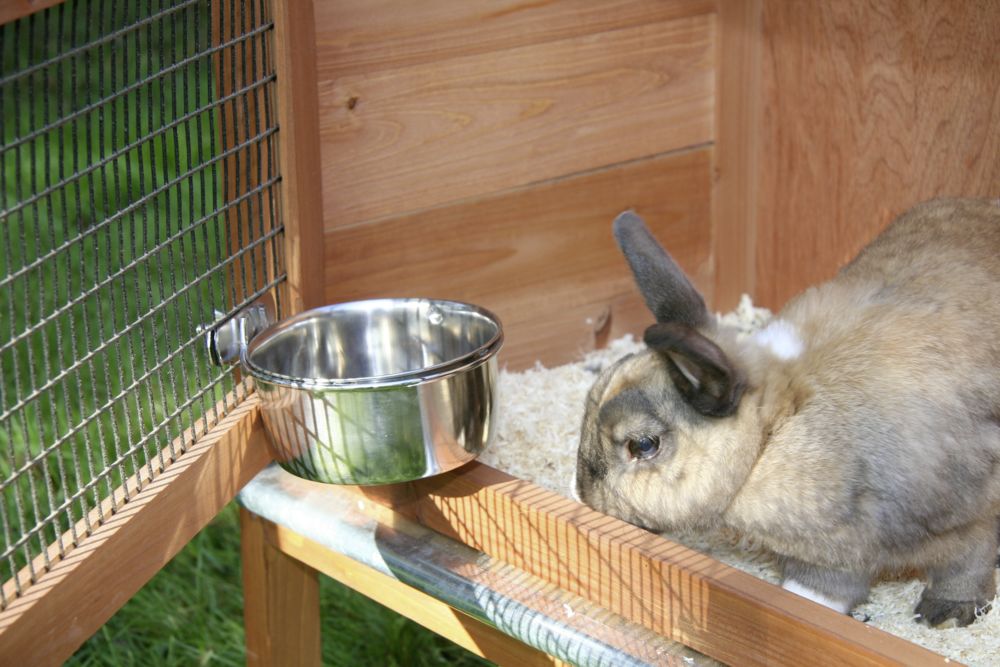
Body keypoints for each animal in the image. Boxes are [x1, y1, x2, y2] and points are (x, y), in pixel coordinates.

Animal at [575, 198, 1000, 627]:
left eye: (643, 445)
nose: (584, 495)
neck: (772, 433)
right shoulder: (831, 556)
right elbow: (814, 595)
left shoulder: (971, 520)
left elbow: (966, 564)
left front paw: (946, 613)